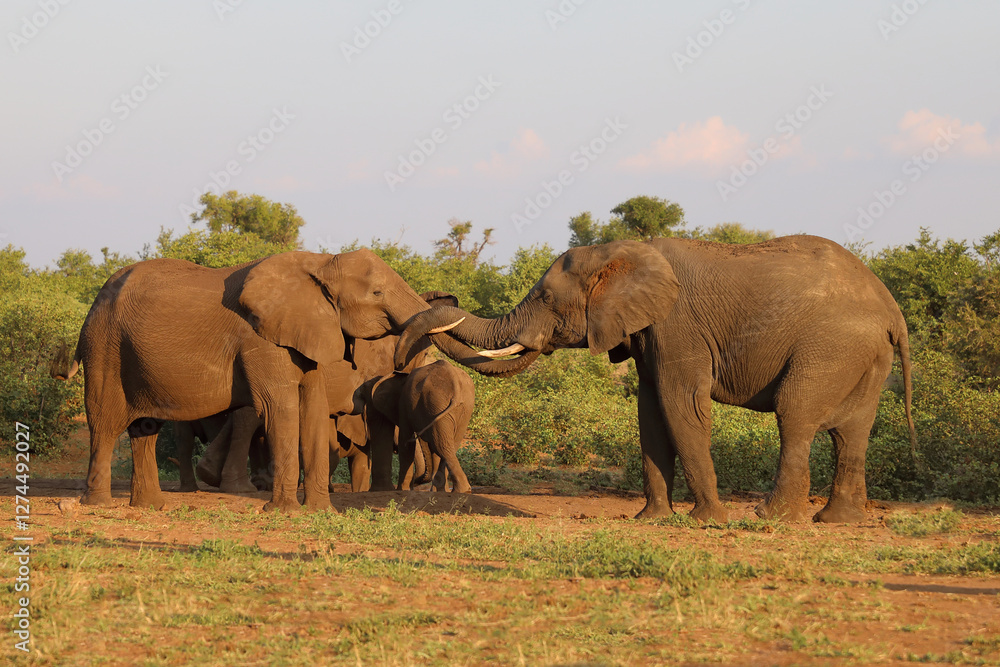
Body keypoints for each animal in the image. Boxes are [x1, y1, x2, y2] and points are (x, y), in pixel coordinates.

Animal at [354, 360, 476, 493]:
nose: (416, 483)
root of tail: (455, 383)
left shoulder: (404, 405)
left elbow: (406, 443)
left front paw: (403, 489)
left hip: (438, 404)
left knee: (442, 444)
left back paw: (461, 490)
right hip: (461, 407)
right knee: (448, 444)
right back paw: (459, 490)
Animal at [396, 235, 917, 523]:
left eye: (544, 298)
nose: (440, 295)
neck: (624, 253)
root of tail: (892, 310)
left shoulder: (676, 325)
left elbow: (680, 404)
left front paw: (707, 521)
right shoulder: (647, 333)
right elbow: (649, 413)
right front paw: (651, 520)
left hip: (831, 347)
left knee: (796, 416)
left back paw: (773, 517)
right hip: (865, 357)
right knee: (852, 432)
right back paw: (838, 521)